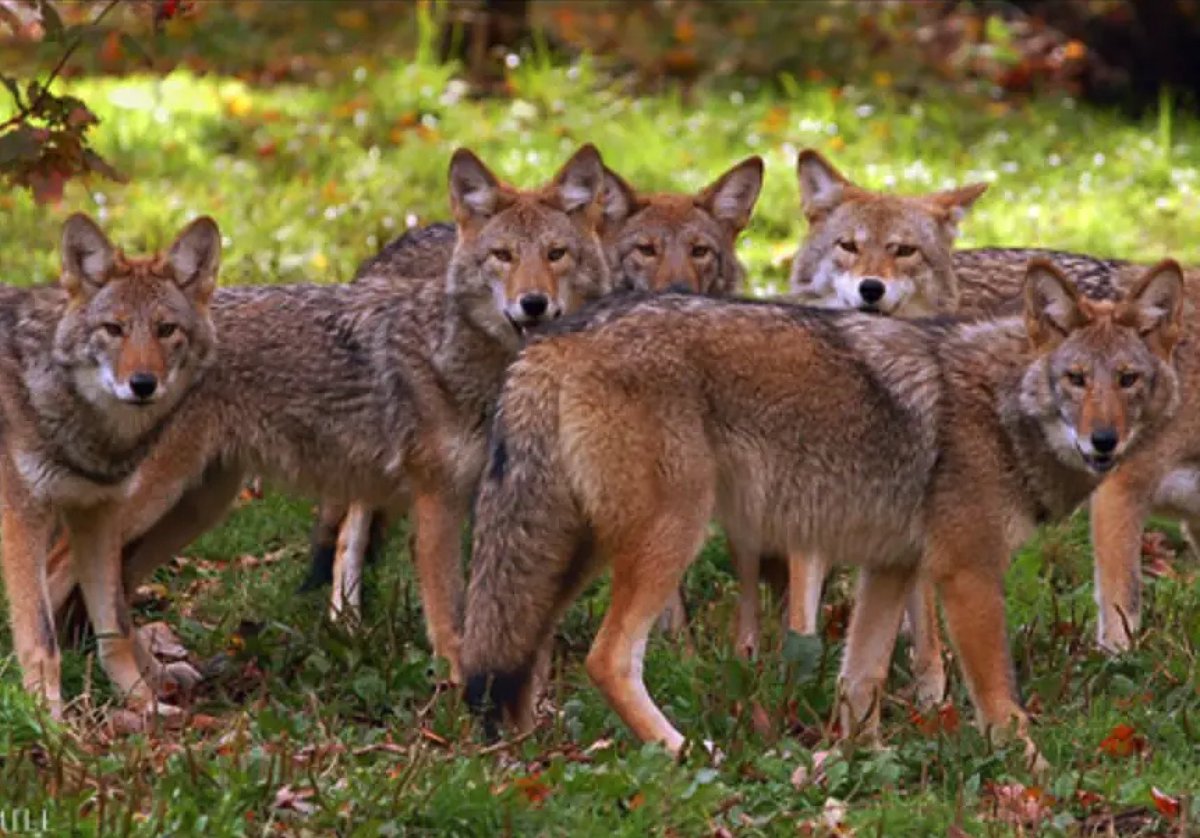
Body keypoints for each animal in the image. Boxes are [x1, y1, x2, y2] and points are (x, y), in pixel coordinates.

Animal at [0, 214, 220, 716]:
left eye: (165, 329)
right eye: (113, 329)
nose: (142, 383)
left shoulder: (98, 515)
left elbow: (114, 626)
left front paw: (145, 705)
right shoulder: (22, 519)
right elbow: (42, 639)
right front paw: (49, 722)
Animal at [39, 145, 614, 701]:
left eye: (555, 254)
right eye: (504, 256)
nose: (533, 303)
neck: (457, 359)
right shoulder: (437, 502)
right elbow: (448, 610)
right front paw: (455, 678)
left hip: (193, 508)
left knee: (112, 586)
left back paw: (149, 675)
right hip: (151, 501)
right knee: (59, 565)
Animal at [307, 155, 765, 627]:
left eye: (699, 251)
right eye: (646, 249)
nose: (678, 292)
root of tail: (390, 246)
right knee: (349, 532)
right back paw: (346, 621)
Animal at [459, 258, 1183, 765]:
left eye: (1127, 380)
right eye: (1076, 380)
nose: (1104, 441)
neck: (1001, 404)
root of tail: (557, 337)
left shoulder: (891, 569)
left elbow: (859, 681)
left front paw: (861, 762)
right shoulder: (968, 576)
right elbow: (1002, 705)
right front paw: (1033, 776)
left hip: (570, 554)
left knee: (518, 651)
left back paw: (521, 754)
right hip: (667, 539)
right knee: (607, 659)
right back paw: (682, 751)